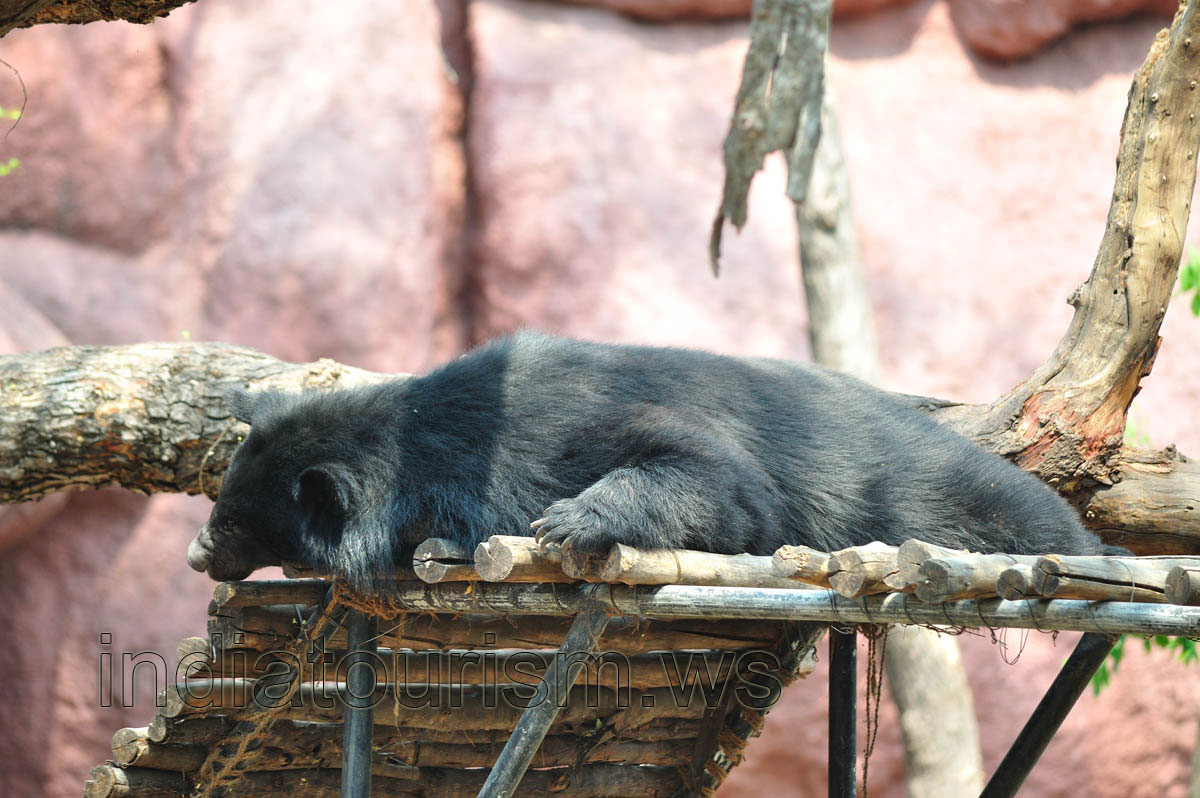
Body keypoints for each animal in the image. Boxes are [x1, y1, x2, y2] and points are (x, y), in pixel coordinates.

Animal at [186, 331, 1121, 586]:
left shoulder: (551, 433)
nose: (197, 552)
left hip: (941, 495)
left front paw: (567, 523)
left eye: (231, 521)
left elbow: (717, 479)